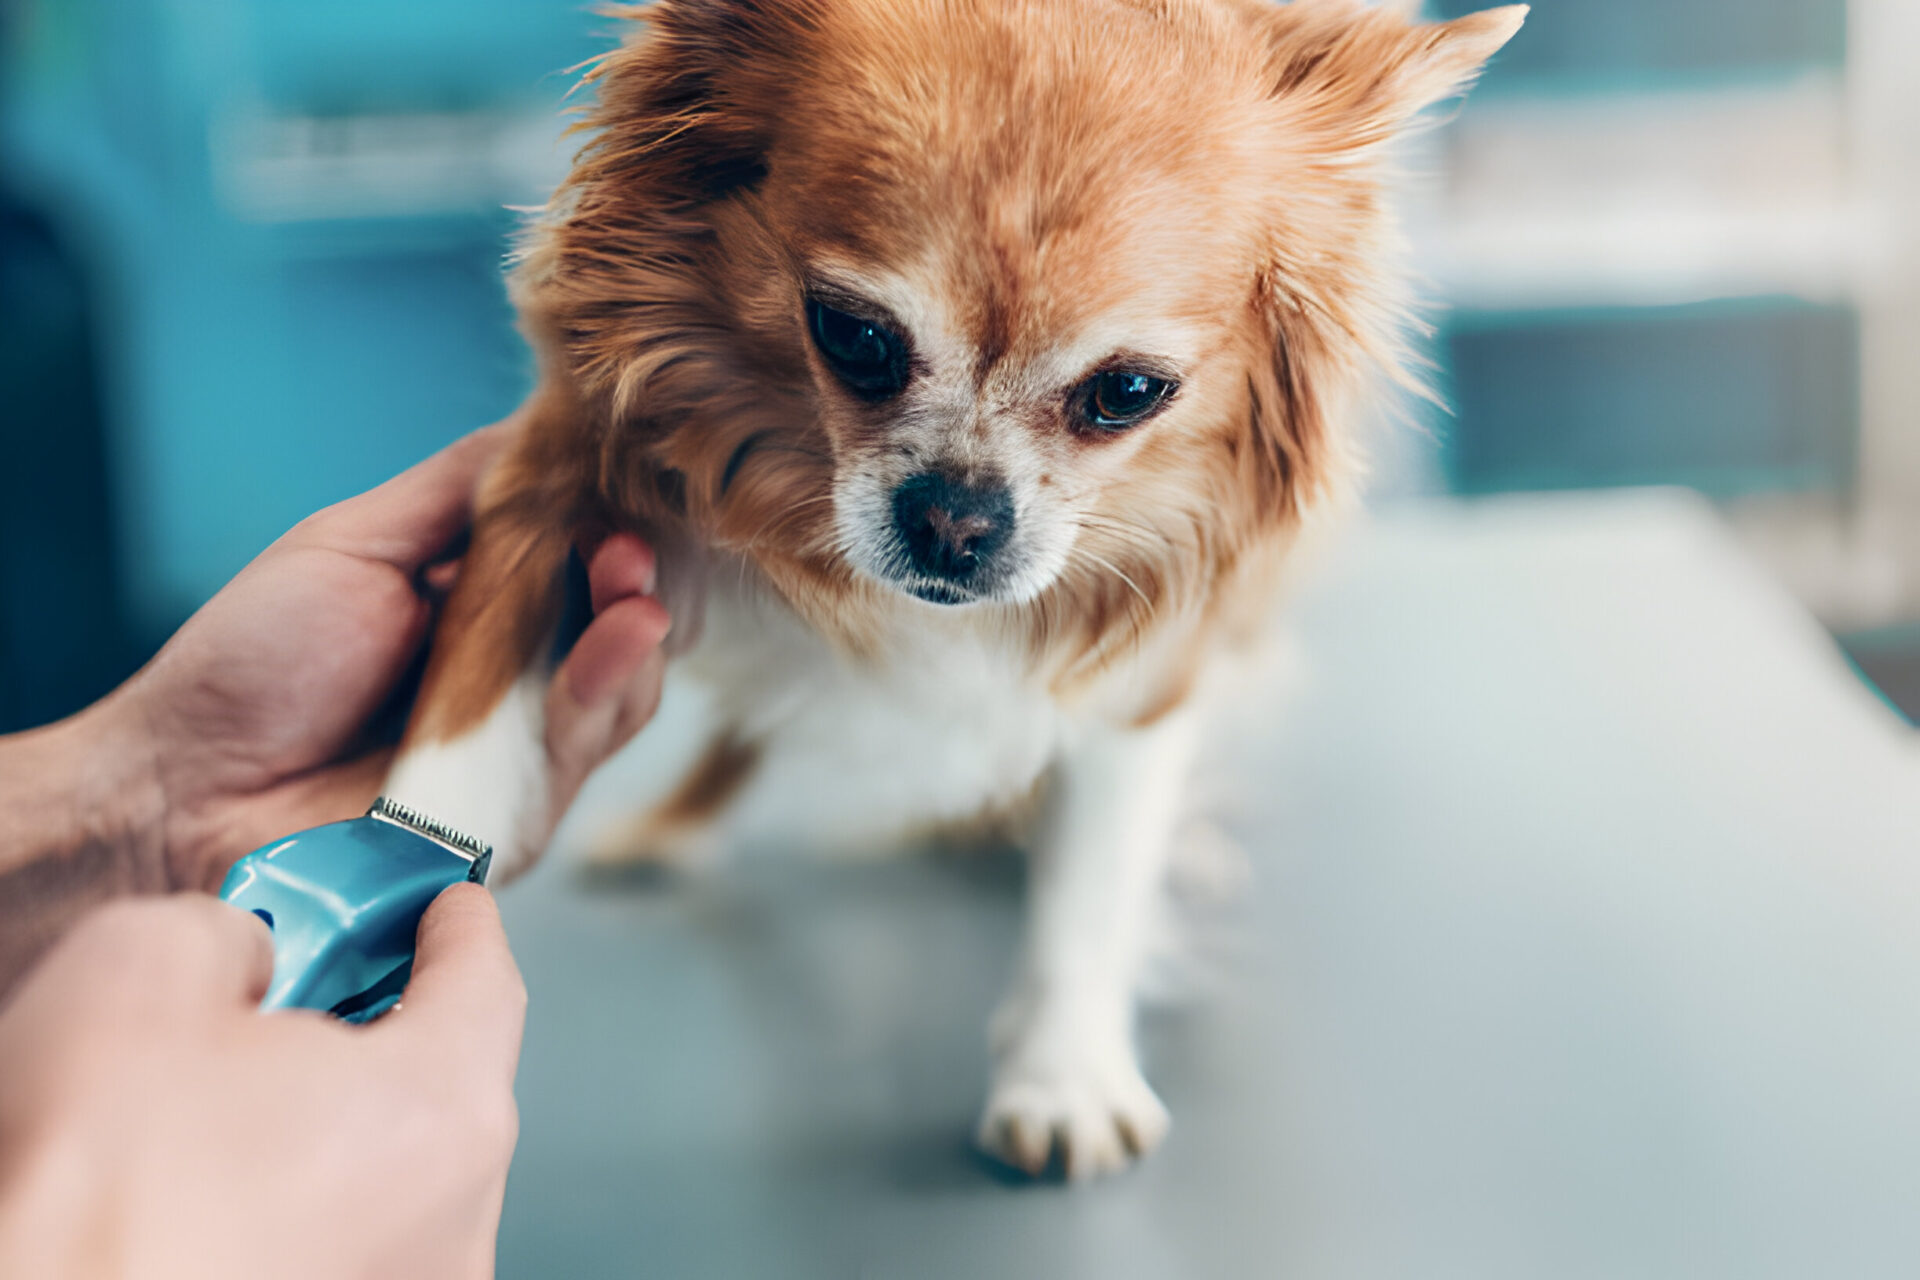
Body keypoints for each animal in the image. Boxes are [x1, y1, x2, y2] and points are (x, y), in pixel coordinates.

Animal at [393, 0, 1528, 1182]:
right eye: (852, 335)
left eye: (1130, 392)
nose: (954, 517)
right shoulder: (552, 490)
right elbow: (454, 736)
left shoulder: (1145, 661)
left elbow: (1092, 886)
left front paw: (1064, 1076)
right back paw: (671, 823)